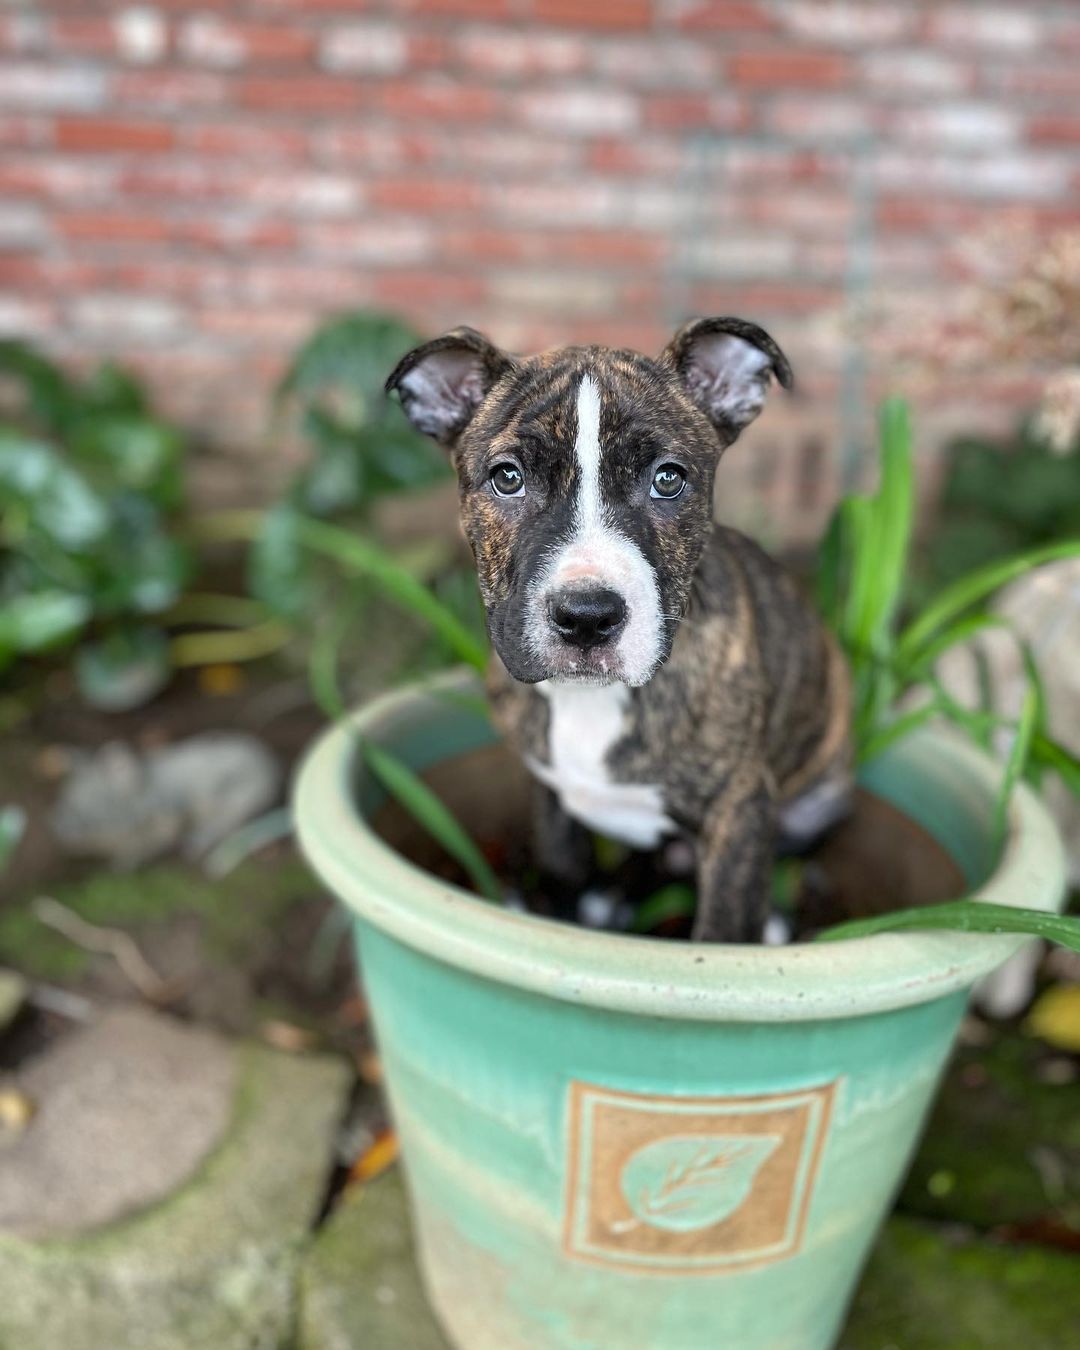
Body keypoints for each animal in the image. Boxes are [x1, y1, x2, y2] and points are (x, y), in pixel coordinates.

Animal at [388, 321, 853, 945]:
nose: (587, 615)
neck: (593, 701)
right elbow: (562, 872)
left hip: (820, 796)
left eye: (668, 479)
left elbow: (725, 927)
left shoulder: (741, 811)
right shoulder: (550, 793)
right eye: (507, 478)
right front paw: (561, 916)